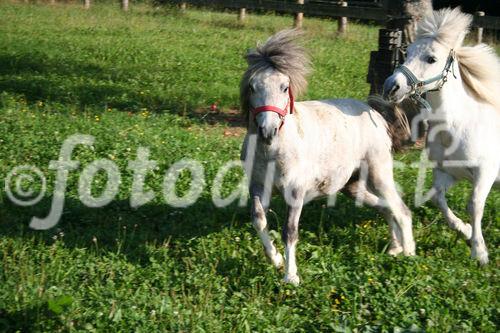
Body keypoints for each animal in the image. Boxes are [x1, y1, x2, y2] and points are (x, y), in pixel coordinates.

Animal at [240, 29, 416, 284]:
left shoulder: (295, 191)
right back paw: (395, 248)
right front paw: (276, 260)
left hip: (379, 175)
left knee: (401, 210)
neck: (272, 151)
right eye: (253, 86)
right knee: (386, 208)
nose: (267, 130)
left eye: (284, 87)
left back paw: (409, 254)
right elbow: (258, 220)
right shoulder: (258, 186)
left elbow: (289, 231)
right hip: (352, 186)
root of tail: (375, 114)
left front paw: (291, 277)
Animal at [382, 7, 500, 264]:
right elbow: (437, 198)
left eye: (431, 59)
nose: (391, 87)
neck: (457, 127)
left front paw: (480, 253)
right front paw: (465, 230)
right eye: (407, 53)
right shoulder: (447, 173)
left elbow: (474, 205)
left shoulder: (485, 173)